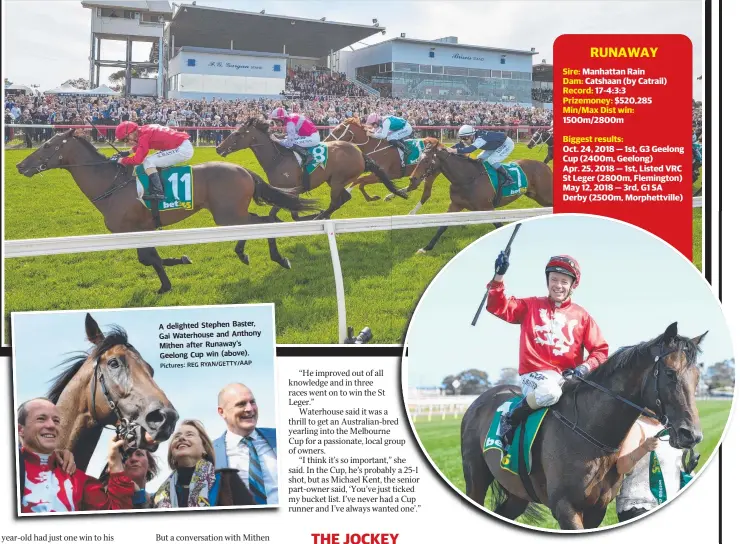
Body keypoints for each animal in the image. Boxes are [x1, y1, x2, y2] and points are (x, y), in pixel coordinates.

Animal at [13, 129, 316, 294]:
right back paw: (244, 253)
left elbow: (149, 259)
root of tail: (243, 169)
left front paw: (174, 270)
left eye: (48, 145)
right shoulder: (141, 230)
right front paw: (171, 275)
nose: (20, 166)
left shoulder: (134, 229)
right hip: (231, 215)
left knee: (265, 221)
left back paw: (277, 258)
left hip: (227, 215)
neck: (111, 183)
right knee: (257, 224)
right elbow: (150, 259)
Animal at [214, 117, 410, 219]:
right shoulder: (285, 192)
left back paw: (320, 215)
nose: (218, 148)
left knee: (335, 202)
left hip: (338, 180)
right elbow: (287, 214)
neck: (277, 159)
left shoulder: (291, 191)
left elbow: (280, 213)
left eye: (237, 134)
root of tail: (360, 153)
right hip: (334, 181)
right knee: (344, 198)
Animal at [408, 138, 552, 253]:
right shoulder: (455, 205)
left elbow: (499, 225)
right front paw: (426, 248)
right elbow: (442, 227)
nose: (412, 178)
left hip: (545, 196)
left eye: (427, 160)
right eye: (419, 159)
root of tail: (545, 165)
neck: (467, 178)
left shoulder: (487, 208)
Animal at [460, 324, 708, 532]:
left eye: (697, 377)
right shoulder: (565, 507)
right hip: (476, 478)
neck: (591, 433)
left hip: (516, 492)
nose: (692, 435)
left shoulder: (597, 509)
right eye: (670, 373)